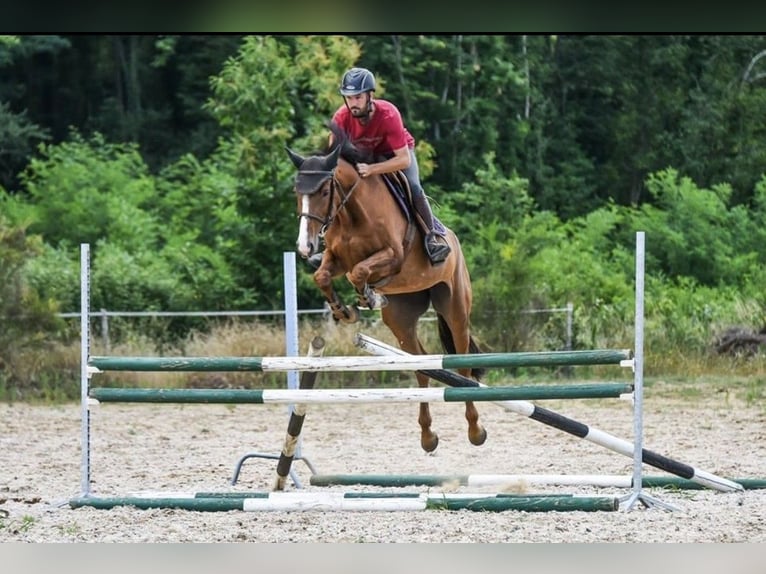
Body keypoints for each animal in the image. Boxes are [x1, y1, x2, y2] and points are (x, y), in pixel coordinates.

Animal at [284, 127, 488, 454]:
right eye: (297, 193)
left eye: (324, 192)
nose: (305, 247)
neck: (351, 213)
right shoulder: (335, 258)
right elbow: (322, 275)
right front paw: (345, 310)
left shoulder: (392, 256)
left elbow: (359, 271)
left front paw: (368, 296)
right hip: (401, 320)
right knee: (421, 366)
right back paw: (427, 437)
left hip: (455, 306)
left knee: (464, 367)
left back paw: (475, 430)